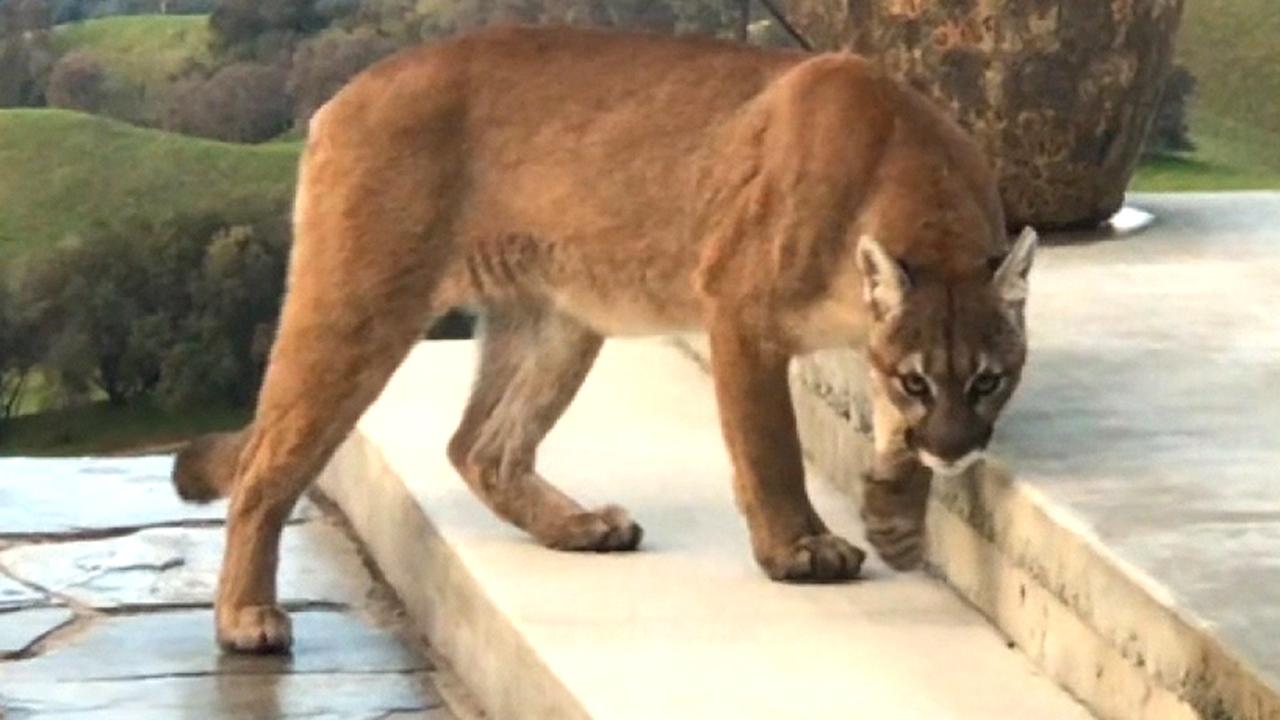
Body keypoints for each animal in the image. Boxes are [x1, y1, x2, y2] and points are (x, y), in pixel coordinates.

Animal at [170, 23, 1034, 650]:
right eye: (920, 379)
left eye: (987, 380)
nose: (957, 450)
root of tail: (345, 92)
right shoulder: (739, 314)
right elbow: (771, 448)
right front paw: (799, 547)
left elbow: (888, 436)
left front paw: (895, 516)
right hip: (359, 305)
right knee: (266, 465)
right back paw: (245, 619)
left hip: (558, 321)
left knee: (480, 446)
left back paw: (579, 527)